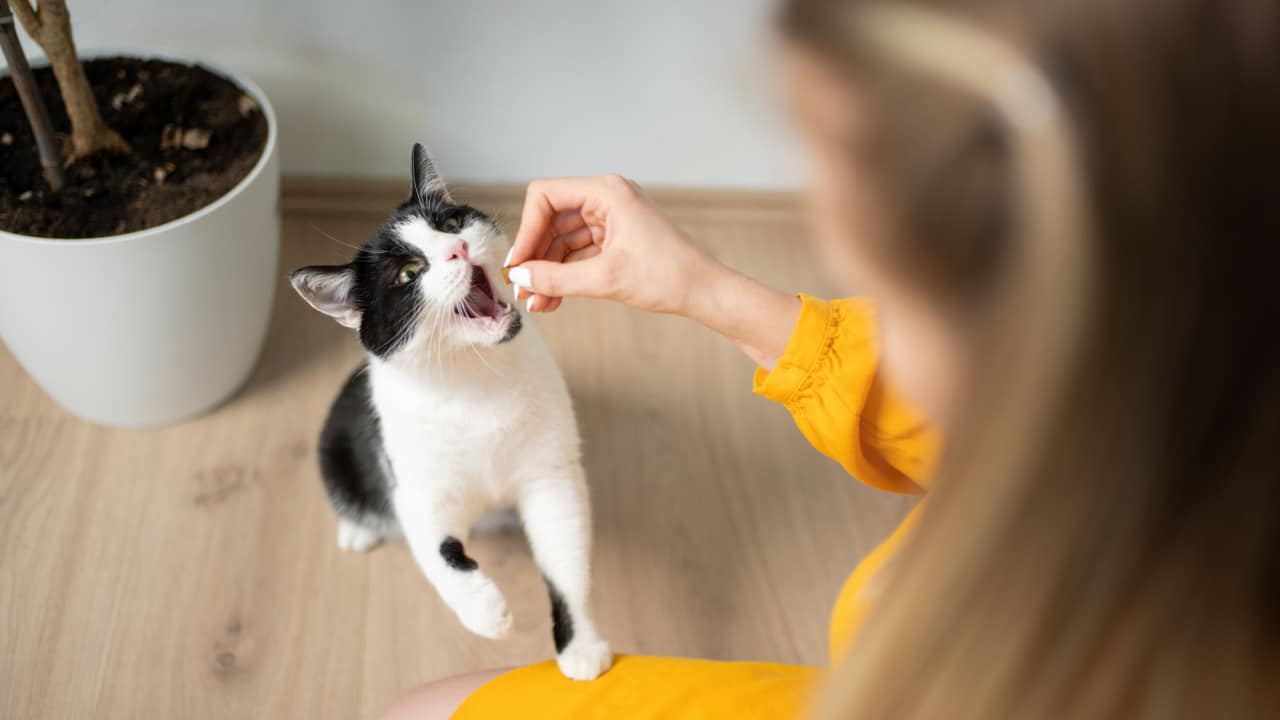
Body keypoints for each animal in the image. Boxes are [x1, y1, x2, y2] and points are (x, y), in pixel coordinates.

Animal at [293, 144, 611, 676]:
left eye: (450, 221)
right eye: (408, 274)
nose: (458, 248)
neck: (475, 380)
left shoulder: (552, 475)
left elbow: (565, 556)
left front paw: (581, 646)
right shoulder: (417, 488)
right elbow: (438, 553)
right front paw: (484, 610)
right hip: (336, 443)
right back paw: (357, 528)